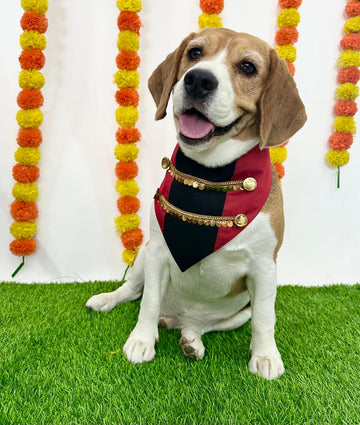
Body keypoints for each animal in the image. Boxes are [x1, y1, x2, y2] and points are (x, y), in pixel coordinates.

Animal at [87, 28, 306, 380]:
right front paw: (141, 341)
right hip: (144, 256)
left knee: (204, 325)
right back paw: (108, 300)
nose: (198, 80)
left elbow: (265, 318)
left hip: (237, 312)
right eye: (195, 53)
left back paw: (192, 339)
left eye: (248, 67)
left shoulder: (264, 268)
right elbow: (147, 303)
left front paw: (265, 356)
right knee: (132, 291)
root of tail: (176, 316)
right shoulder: (159, 251)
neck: (210, 177)